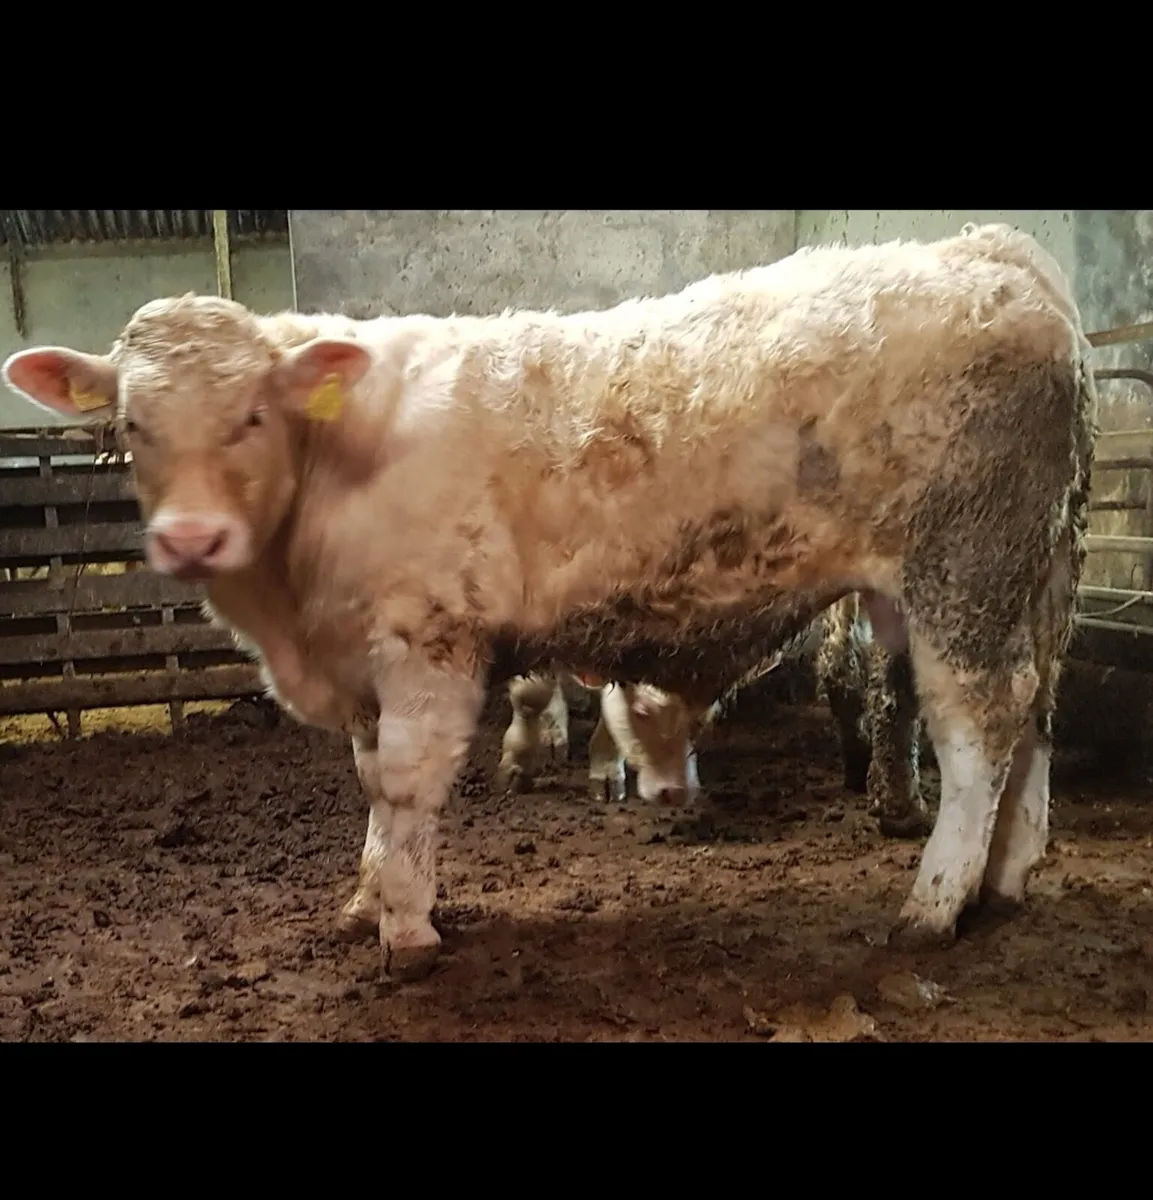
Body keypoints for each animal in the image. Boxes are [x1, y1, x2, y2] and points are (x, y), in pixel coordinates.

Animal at [2, 222, 1096, 982]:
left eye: (252, 416)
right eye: (131, 424)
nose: (193, 538)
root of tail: (986, 250)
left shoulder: (426, 641)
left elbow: (405, 782)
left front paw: (407, 927)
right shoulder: (359, 661)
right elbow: (368, 782)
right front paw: (366, 896)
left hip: (964, 562)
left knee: (977, 727)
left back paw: (934, 905)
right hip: (1020, 574)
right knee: (1034, 714)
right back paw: (1005, 878)